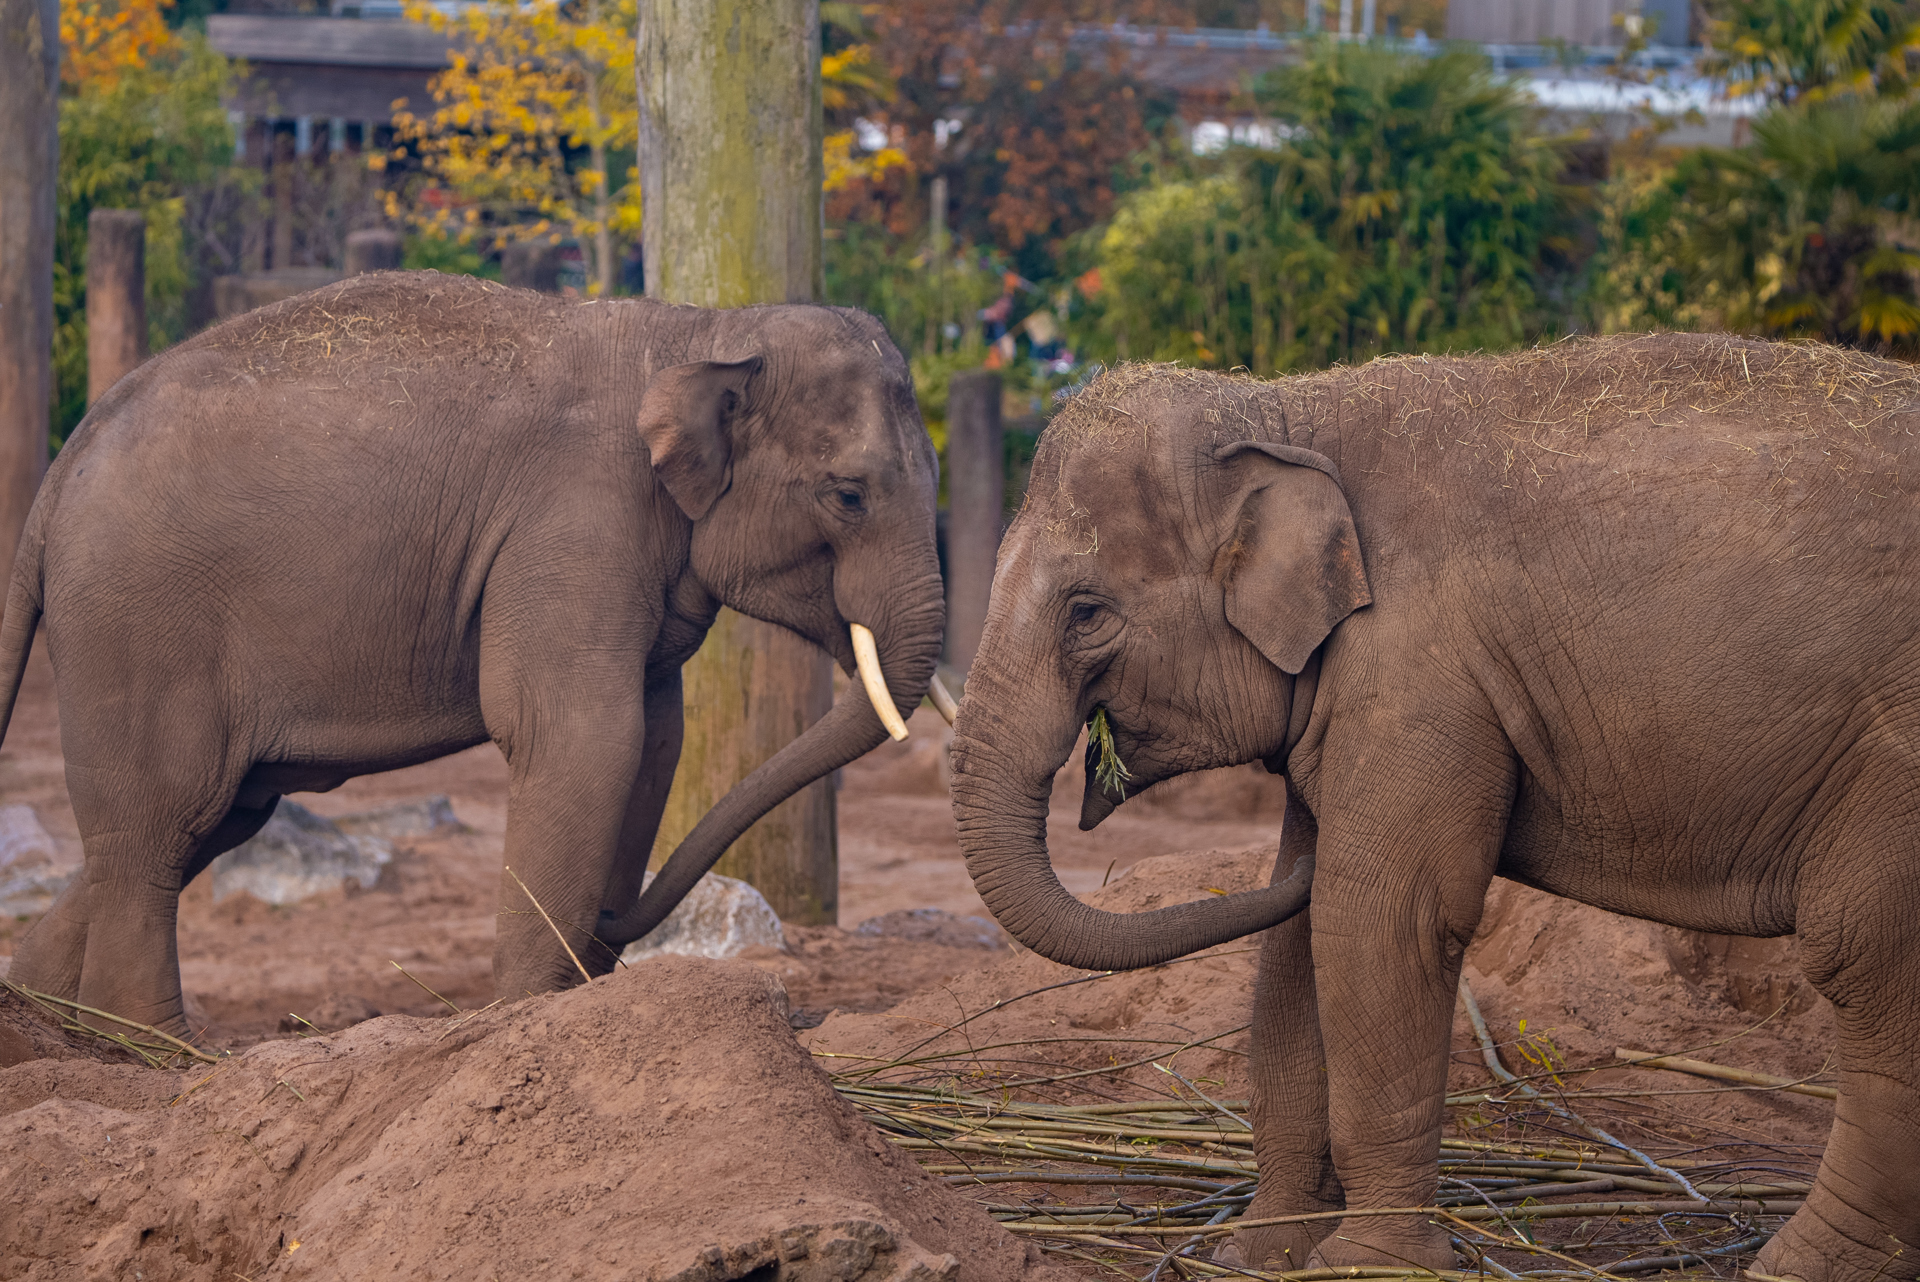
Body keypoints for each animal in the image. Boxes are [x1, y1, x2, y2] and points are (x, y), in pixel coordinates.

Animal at [3, 270, 953, 1039]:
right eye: (849, 494)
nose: (612, 920)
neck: (703, 332)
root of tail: (57, 475)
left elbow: (655, 739)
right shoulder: (575, 522)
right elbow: (582, 736)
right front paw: (531, 1012)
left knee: (211, 818)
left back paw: (53, 1026)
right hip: (139, 623)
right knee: (163, 821)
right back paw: (166, 1054)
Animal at [948, 334, 1920, 1280]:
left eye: (1086, 613)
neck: (1289, 408)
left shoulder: (1420, 674)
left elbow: (1380, 916)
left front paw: (1368, 1265)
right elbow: (1303, 932)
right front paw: (1259, 1252)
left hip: (1894, 761)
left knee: (1868, 957)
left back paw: (1797, 1265)